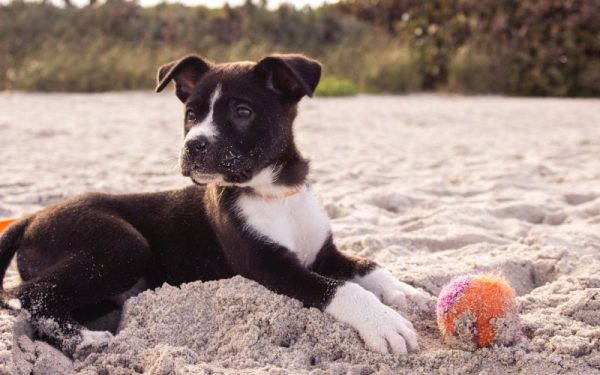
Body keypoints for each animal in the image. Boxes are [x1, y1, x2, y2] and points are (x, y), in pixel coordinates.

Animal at [2, 53, 428, 358]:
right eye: (191, 114)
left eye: (243, 111)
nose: (193, 145)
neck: (273, 192)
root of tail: (32, 217)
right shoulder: (267, 266)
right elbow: (339, 289)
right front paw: (383, 323)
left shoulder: (324, 252)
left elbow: (368, 265)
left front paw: (405, 291)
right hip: (122, 245)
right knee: (26, 296)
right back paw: (84, 341)